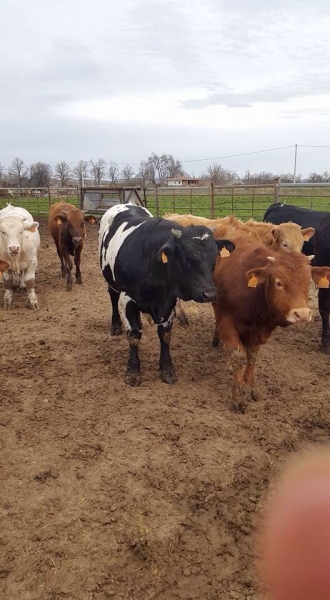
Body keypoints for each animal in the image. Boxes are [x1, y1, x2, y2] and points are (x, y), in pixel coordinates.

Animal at [98, 204, 235, 386]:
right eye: (186, 259)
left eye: (215, 258)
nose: (210, 293)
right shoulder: (126, 299)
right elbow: (134, 335)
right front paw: (133, 371)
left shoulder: (169, 301)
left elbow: (165, 335)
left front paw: (167, 369)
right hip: (110, 281)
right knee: (112, 299)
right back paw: (115, 326)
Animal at [210, 234, 330, 412]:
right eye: (278, 282)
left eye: (308, 281)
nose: (301, 314)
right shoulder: (226, 320)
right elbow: (237, 355)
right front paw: (238, 397)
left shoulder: (259, 330)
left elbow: (252, 356)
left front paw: (249, 388)